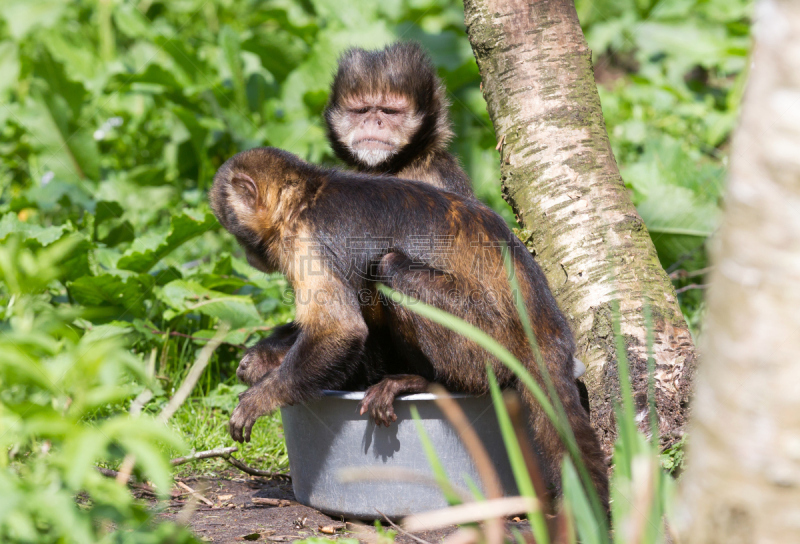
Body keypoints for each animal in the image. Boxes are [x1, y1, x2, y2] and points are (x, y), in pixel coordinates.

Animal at [206, 146, 608, 510]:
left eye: (237, 235)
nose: (247, 256)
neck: (305, 197)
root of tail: (545, 326)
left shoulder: (306, 239)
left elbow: (342, 330)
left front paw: (262, 395)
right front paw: (260, 360)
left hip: (487, 339)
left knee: (391, 268)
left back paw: (430, 382)